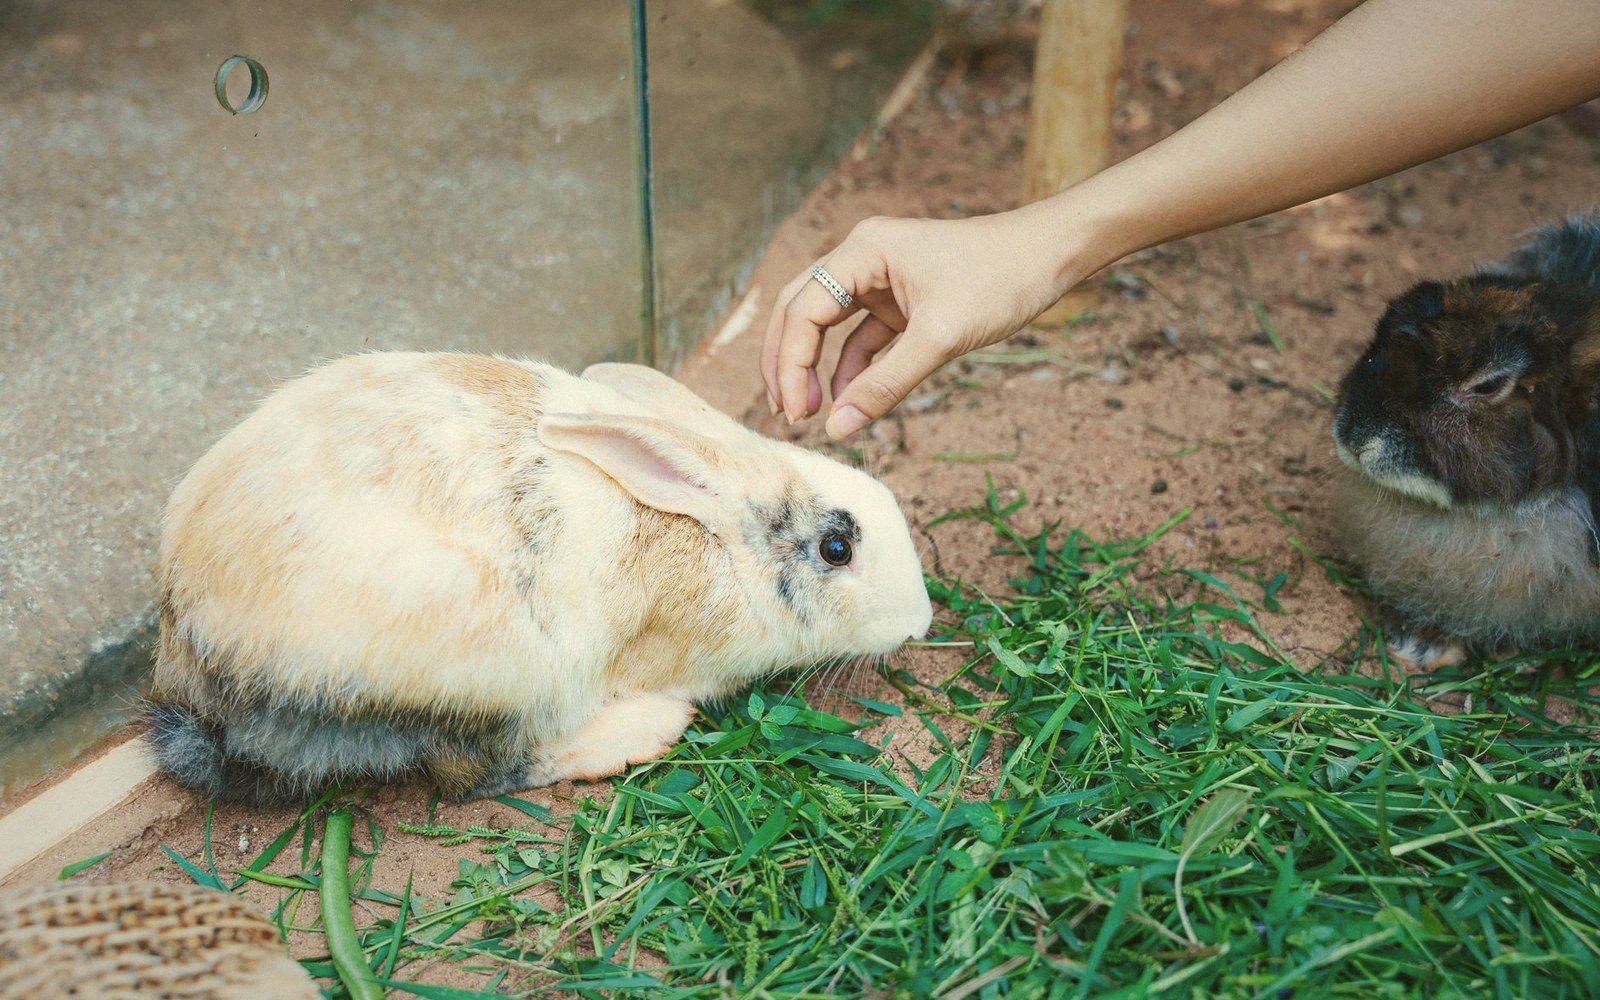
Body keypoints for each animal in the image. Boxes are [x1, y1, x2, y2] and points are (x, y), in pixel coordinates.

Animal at [146, 352, 933, 803]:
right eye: (837, 547)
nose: (922, 621)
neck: (721, 542)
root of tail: (195, 671)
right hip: (497, 677)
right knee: (477, 777)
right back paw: (643, 732)